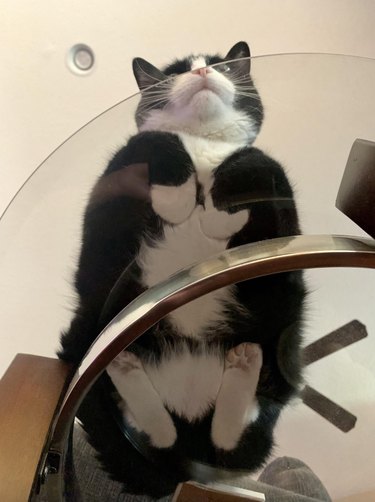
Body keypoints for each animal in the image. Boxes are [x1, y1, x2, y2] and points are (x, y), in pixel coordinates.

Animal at [58, 41, 306, 496]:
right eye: (175, 72)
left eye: (226, 66)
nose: (203, 71)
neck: (203, 145)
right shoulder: (119, 171)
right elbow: (156, 138)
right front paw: (177, 202)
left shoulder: (269, 179)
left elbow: (254, 159)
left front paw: (218, 217)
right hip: (89, 321)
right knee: (158, 430)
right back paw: (130, 373)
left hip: (282, 330)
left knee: (229, 439)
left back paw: (242, 367)